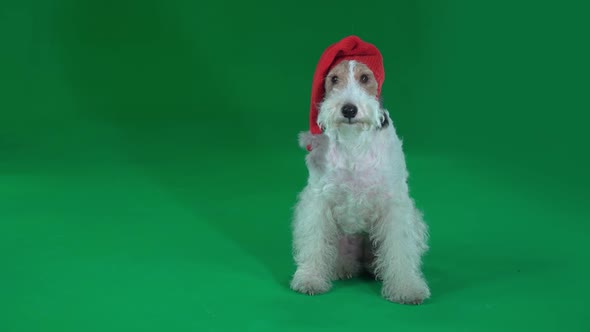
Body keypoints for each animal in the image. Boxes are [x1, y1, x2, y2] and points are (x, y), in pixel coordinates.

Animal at [292, 38, 430, 304]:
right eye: (334, 79)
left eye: (365, 78)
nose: (348, 110)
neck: (354, 142)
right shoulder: (318, 199)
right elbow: (314, 241)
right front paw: (310, 279)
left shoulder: (394, 202)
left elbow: (400, 248)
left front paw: (407, 288)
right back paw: (342, 268)